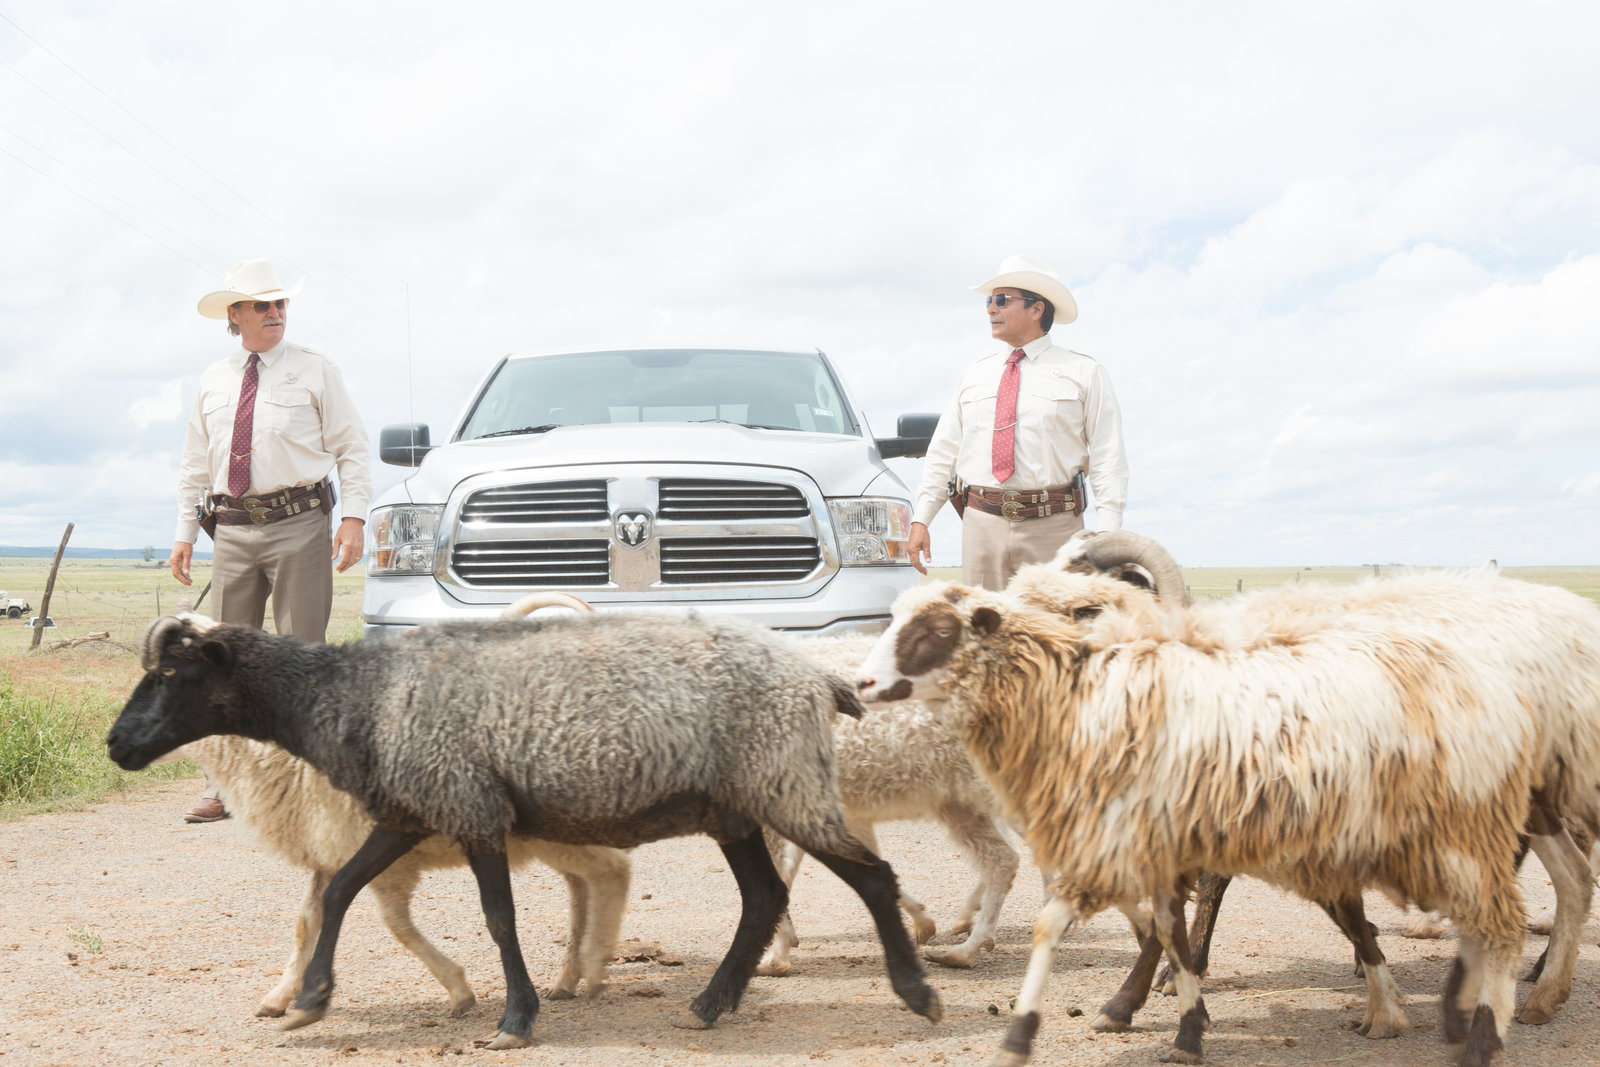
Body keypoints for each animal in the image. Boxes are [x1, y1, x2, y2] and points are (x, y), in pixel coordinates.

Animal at [109, 607, 934, 1049]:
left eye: (174, 674)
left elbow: (498, 916)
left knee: (871, 877)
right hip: (735, 805)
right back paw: (709, 1004)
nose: (116, 744)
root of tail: (814, 676)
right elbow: (340, 890)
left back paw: (917, 991)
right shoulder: (412, 807)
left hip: (784, 782)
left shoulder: (470, 805)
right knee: (763, 898)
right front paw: (312, 998)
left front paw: (514, 1015)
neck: (350, 696)